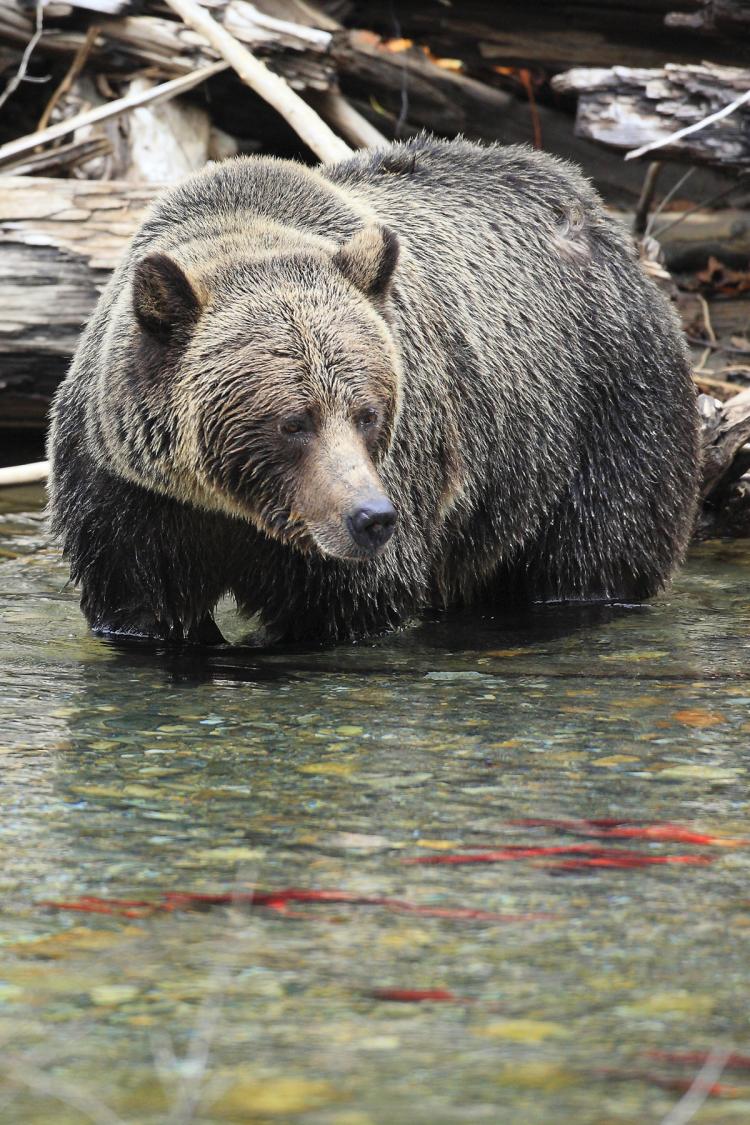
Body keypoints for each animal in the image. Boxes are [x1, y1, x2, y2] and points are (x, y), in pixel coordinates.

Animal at [47, 135, 700, 646]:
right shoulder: (131, 496)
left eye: (367, 413)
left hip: (606, 416)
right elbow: (141, 603)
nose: (371, 517)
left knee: (592, 555)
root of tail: (601, 219)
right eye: (294, 421)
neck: (229, 506)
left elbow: (351, 602)